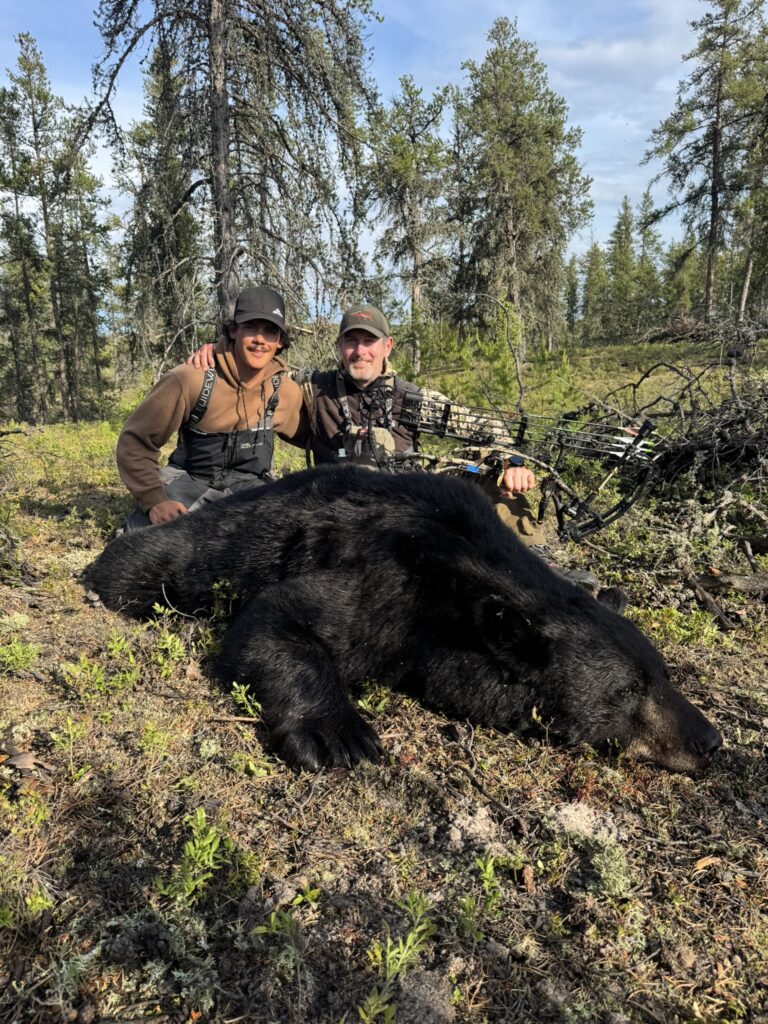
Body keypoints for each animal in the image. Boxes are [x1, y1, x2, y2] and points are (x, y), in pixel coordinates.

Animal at [84, 466, 722, 773]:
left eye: (663, 676)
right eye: (627, 691)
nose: (711, 741)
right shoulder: (389, 585)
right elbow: (277, 615)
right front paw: (338, 733)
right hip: (195, 549)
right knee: (140, 566)